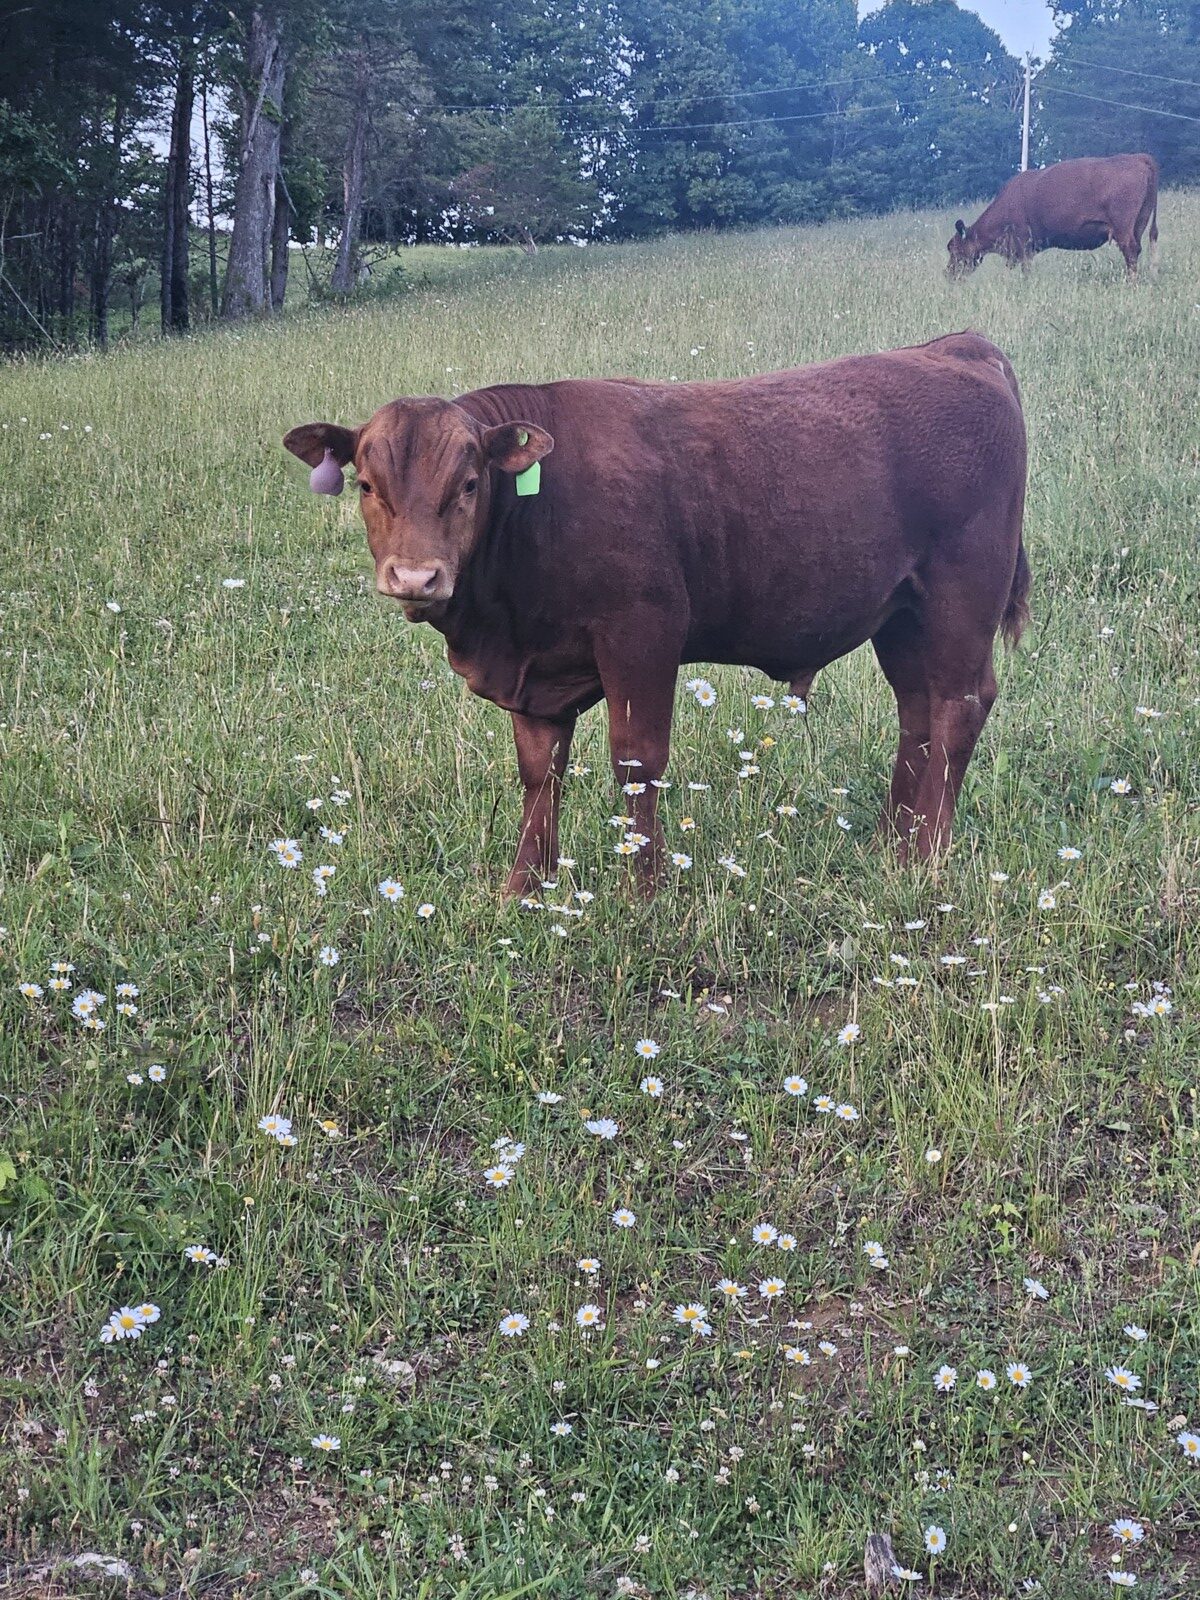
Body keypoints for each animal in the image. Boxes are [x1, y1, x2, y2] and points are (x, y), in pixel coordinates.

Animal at [284, 332, 1030, 897]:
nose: (416, 576)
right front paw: (525, 886)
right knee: (918, 712)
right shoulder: (535, 671)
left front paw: (644, 887)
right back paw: (890, 841)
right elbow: (540, 770)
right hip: (901, 614)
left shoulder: (642, 632)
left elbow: (636, 758)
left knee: (959, 706)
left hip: (961, 596)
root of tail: (954, 347)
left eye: (468, 485)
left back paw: (925, 855)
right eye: (367, 486)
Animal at [947, 153, 1159, 277]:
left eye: (953, 249)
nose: (948, 273)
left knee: (1130, 251)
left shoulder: (1024, 246)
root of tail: (1137, 157)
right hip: (1139, 224)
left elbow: (1026, 271)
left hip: (1123, 229)